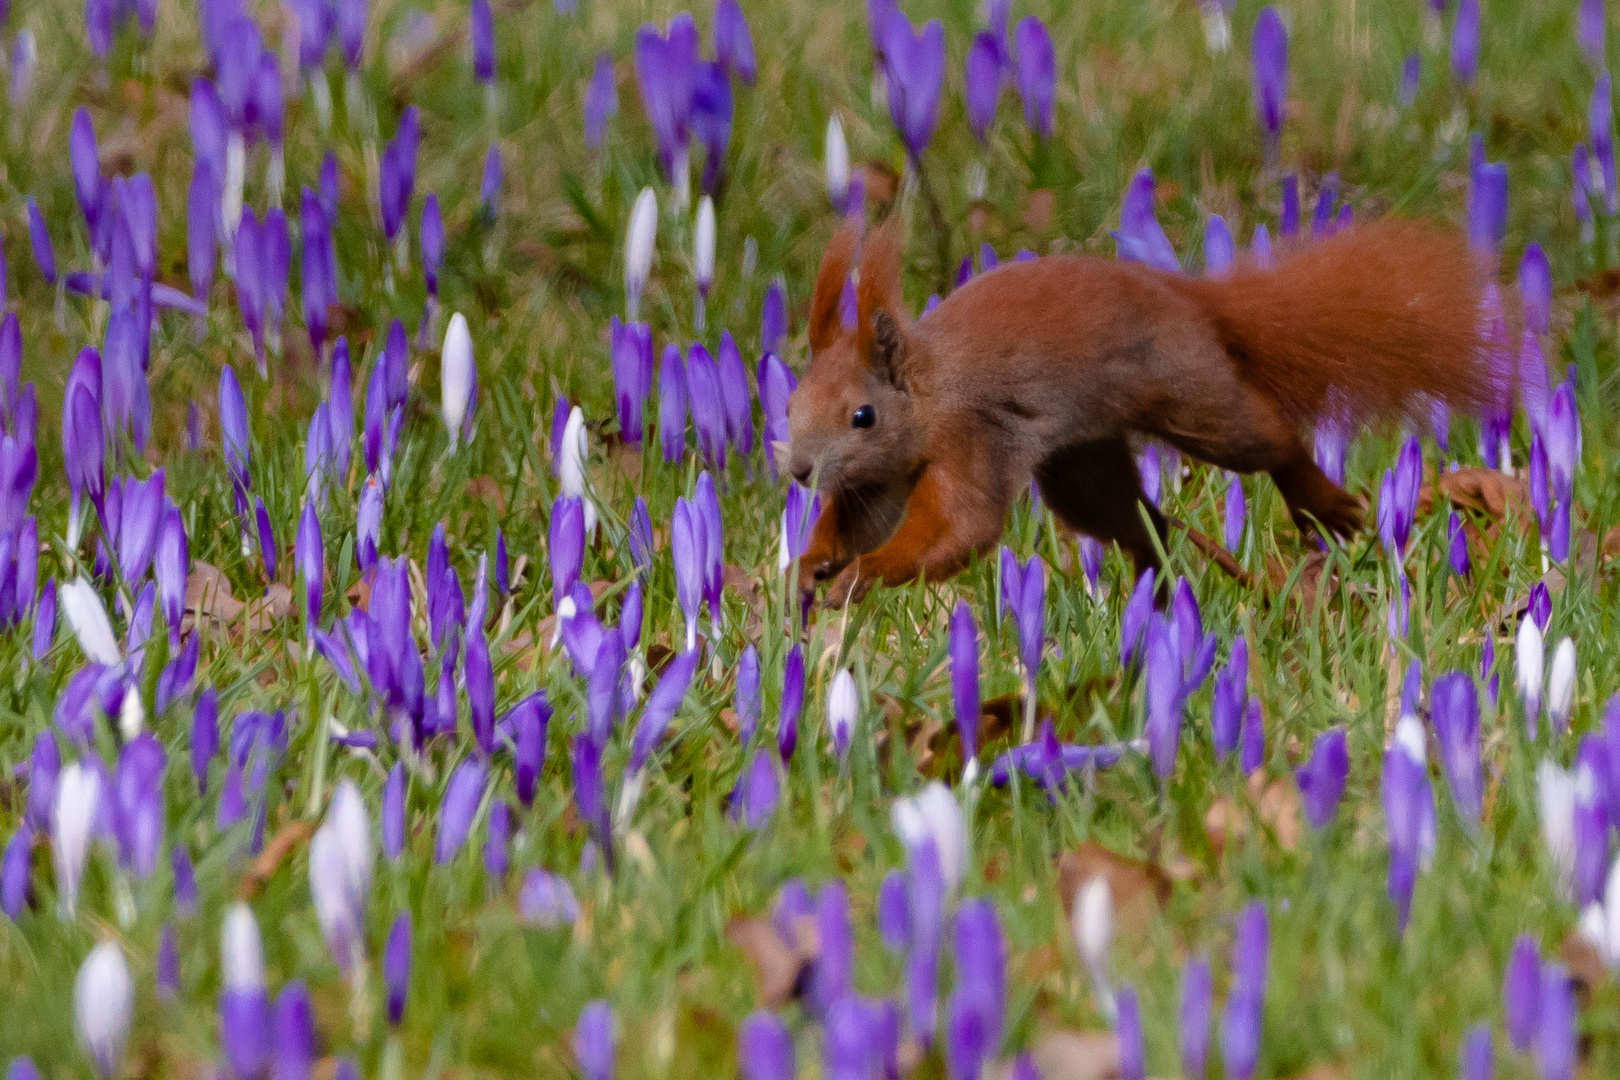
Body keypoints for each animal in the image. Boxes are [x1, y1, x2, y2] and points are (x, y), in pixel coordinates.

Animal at [787, 208, 1490, 608]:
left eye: (863, 416)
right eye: (789, 405)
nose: (798, 471)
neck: (928, 394)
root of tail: (1188, 297)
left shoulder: (971, 437)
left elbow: (963, 528)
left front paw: (865, 574)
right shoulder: (877, 478)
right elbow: (862, 520)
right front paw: (812, 563)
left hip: (1195, 398)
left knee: (1269, 441)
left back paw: (1322, 505)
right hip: (1082, 466)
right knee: (1142, 521)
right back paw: (1163, 593)